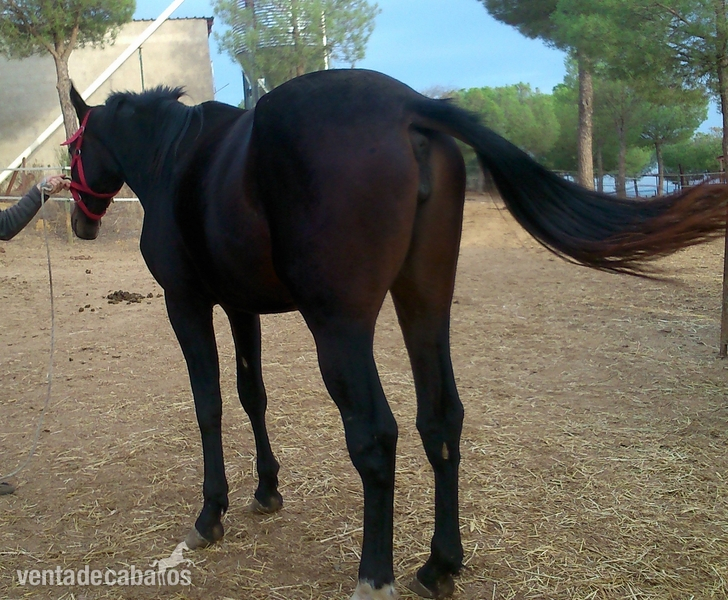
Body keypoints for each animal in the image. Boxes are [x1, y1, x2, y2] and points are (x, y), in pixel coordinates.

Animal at [64, 69, 727, 600]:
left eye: (74, 147)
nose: (79, 222)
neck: (175, 159)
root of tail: (409, 106)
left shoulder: (188, 305)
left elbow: (209, 405)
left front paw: (210, 513)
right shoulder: (240, 308)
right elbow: (253, 397)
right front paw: (267, 489)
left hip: (340, 328)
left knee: (376, 436)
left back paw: (374, 575)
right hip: (424, 304)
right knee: (441, 418)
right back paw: (439, 566)